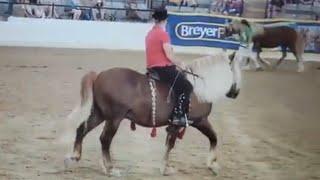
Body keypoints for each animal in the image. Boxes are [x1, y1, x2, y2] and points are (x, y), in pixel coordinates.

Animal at [63, 51, 241, 176]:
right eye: (235, 71)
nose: (236, 92)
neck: (200, 87)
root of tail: (99, 75)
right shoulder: (197, 121)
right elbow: (208, 138)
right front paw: (167, 168)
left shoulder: (182, 124)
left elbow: (207, 138)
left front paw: (211, 164)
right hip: (114, 118)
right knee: (105, 139)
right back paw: (110, 168)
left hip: (100, 114)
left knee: (82, 129)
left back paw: (74, 157)